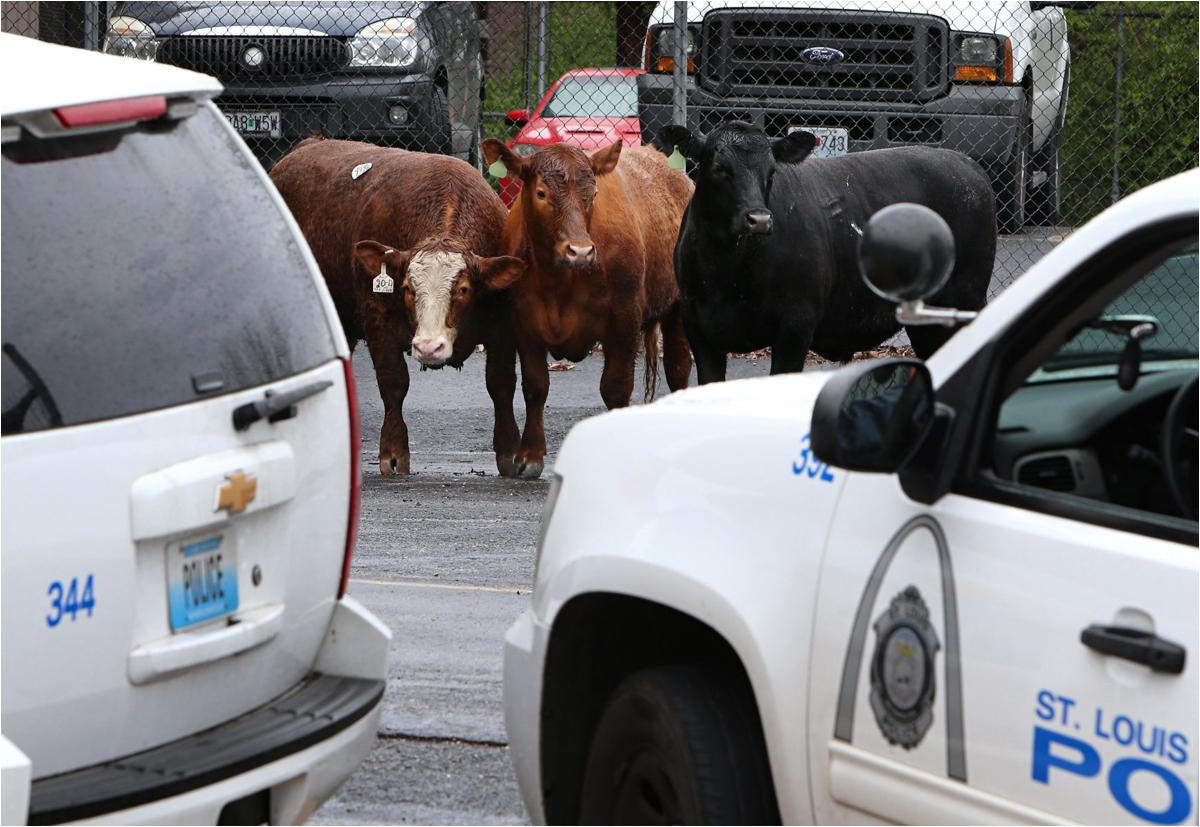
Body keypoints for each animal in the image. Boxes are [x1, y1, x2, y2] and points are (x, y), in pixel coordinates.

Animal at [274, 138, 523, 475]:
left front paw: (509, 451)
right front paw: (393, 452)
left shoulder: (502, 324)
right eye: (407, 288)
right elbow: (393, 383)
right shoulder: (377, 319)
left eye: (463, 289)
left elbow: (501, 383)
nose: (429, 347)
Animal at [480, 139, 696, 477]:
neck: (558, 282)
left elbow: (616, 387)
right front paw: (530, 455)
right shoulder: (524, 322)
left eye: (593, 194)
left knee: (678, 367)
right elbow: (535, 386)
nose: (580, 251)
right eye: (541, 193)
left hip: (676, 308)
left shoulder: (624, 319)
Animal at [657, 120, 993, 384]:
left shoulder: (796, 326)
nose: (759, 219)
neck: (729, 273)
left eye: (771, 171)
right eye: (719, 168)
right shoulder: (698, 329)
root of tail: (965, 162)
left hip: (963, 300)